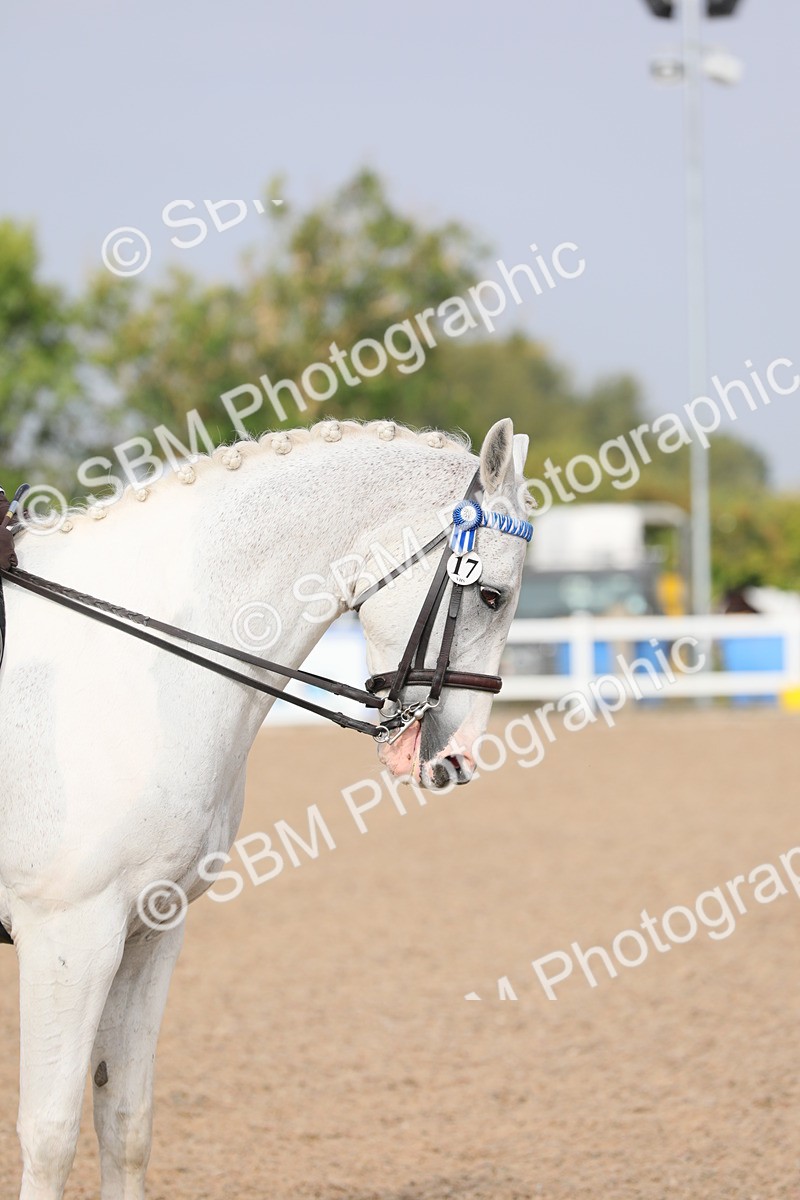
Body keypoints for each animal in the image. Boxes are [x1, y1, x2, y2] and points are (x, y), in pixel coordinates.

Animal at [0, 416, 531, 1200]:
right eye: (491, 595)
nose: (457, 759)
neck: (127, 669)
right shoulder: (67, 933)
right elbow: (50, 1135)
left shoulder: (149, 931)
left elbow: (125, 1122)